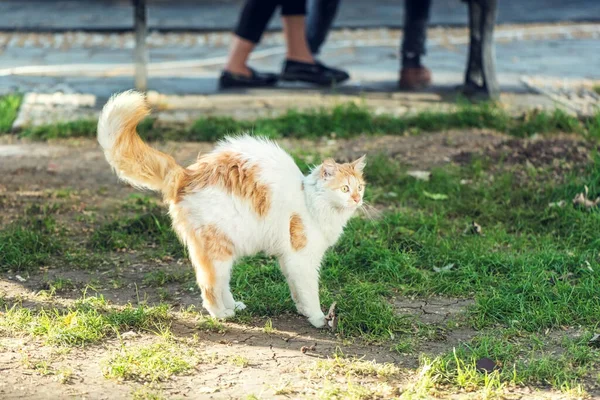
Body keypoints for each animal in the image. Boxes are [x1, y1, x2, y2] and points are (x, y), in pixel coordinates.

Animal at [97, 91, 366, 328]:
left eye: (360, 187)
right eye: (344, 189)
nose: (356, 199)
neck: (311, 202)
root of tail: (187, 175)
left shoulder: (288, 259)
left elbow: (296, 289)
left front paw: (302, 310)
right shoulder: (302, 259)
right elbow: (310, 292)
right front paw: (318, 318)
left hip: (225, 249)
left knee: (221, 283)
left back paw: (233, 306)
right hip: (219, 249)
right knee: (209, 286)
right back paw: (222, 314)